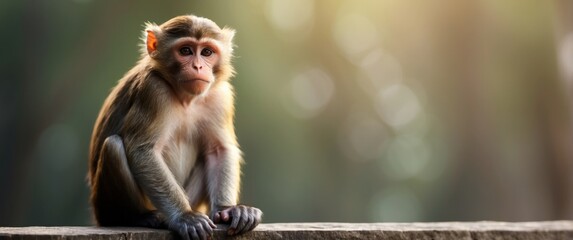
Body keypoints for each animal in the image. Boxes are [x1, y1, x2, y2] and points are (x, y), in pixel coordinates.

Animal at [86, 15, 262, 240]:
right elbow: (143, 150)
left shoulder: (220, 97)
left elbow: (219, 150)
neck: (185, 98)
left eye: (207, 52)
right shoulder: (153, 90)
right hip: (106, 208)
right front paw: (185, 217)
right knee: (114, 146)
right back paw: (138, 217)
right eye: (185, 51)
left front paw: (228, 210)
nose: (198, 67)